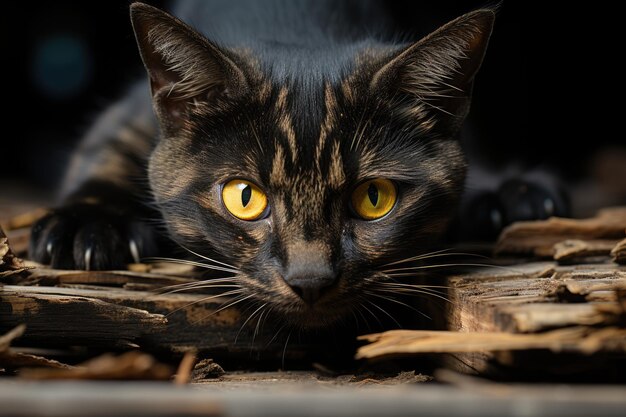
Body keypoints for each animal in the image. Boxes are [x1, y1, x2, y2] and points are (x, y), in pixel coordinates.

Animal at [30, 0, 492, 328]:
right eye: (244, 197)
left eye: (374, 198)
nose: (310, 279)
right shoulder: (131, 111)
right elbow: (105, 146)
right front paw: (83, 223)